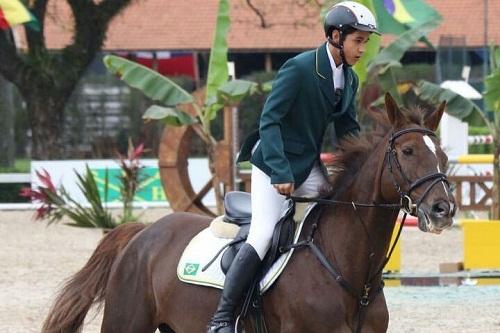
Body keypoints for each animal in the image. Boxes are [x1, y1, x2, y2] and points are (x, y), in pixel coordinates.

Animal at [43, 93, 458, 332]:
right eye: (407, 152)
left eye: (442, 155)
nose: (443, 209)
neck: (348, 269)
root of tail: (144, 233)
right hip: (126, 322)